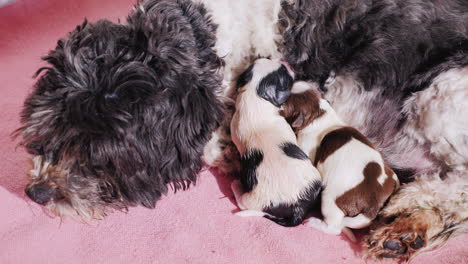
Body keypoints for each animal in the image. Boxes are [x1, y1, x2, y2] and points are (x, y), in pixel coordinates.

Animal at [229, 59, 322, 227]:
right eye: (284, 75)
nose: (285, 61)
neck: (256, 94)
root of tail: (296, 206)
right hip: (253, 200)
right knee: (242, 203)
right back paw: (236, 185)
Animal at [280, 83, 400, 241]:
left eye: (284, 101)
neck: (319, 114)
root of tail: (373, 205)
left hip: (330, 200)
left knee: (334, 228)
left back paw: (314, 223)